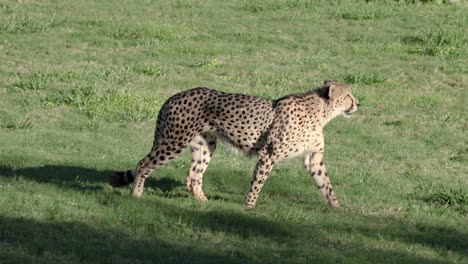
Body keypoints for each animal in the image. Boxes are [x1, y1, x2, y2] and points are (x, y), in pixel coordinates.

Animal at [109, 79, 358, 207]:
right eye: (348, 96)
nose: (358, 103)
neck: (322, 111)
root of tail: (175, 96)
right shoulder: (268, 154)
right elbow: (258, 182)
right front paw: (249, 207)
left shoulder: (314, 158)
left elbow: (326, 184)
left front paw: (337, 209)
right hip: (174, 141)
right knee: (144, 164)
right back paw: (136, 194)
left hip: (205, 145)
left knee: (192, 176)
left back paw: (204, 201)